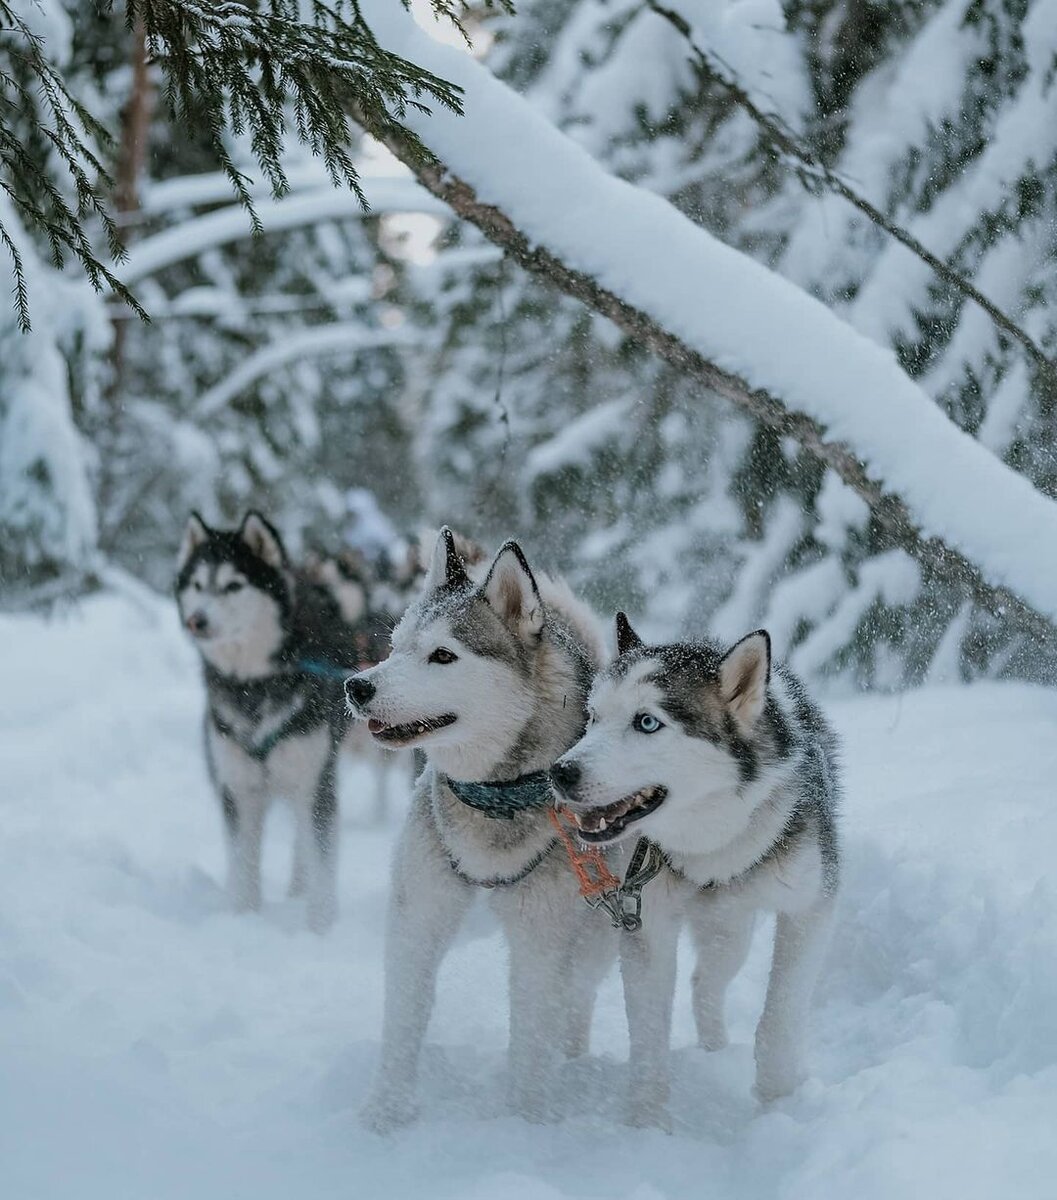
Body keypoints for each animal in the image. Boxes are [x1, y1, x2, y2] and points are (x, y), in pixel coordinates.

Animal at [172, 511, 355, 931]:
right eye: (197, 585)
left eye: (234, 585)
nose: (196, 621)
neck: (254, 683)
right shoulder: (238, 789)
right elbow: (243, 865)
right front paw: (243, 920)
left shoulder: (314, 782)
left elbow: (321, 862)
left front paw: (321, 930)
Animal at [345, 530, 619, 1128]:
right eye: (396, 645)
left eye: (443, 655)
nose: (356, 687)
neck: (495, 797)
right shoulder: (418, 914)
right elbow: (405, 1014)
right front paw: (385, 1114)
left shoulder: (542, 937)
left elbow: (533, 1034)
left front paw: (524, 1122)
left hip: (593, 935)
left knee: (576, 1000)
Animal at [549, 619, 835, 1113]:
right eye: (593, 717)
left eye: (647, 722)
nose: (560, 773)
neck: (712, 846)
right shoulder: (645, 924)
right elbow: (648, 1035)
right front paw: (647, 1118)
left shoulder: (810, 909)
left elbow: (780, 1014)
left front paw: (778, 1097)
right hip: (602, 932)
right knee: (577, 988)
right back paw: (572, 1062)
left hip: (730, 931)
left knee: (705, 983)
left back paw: (715, 1050)